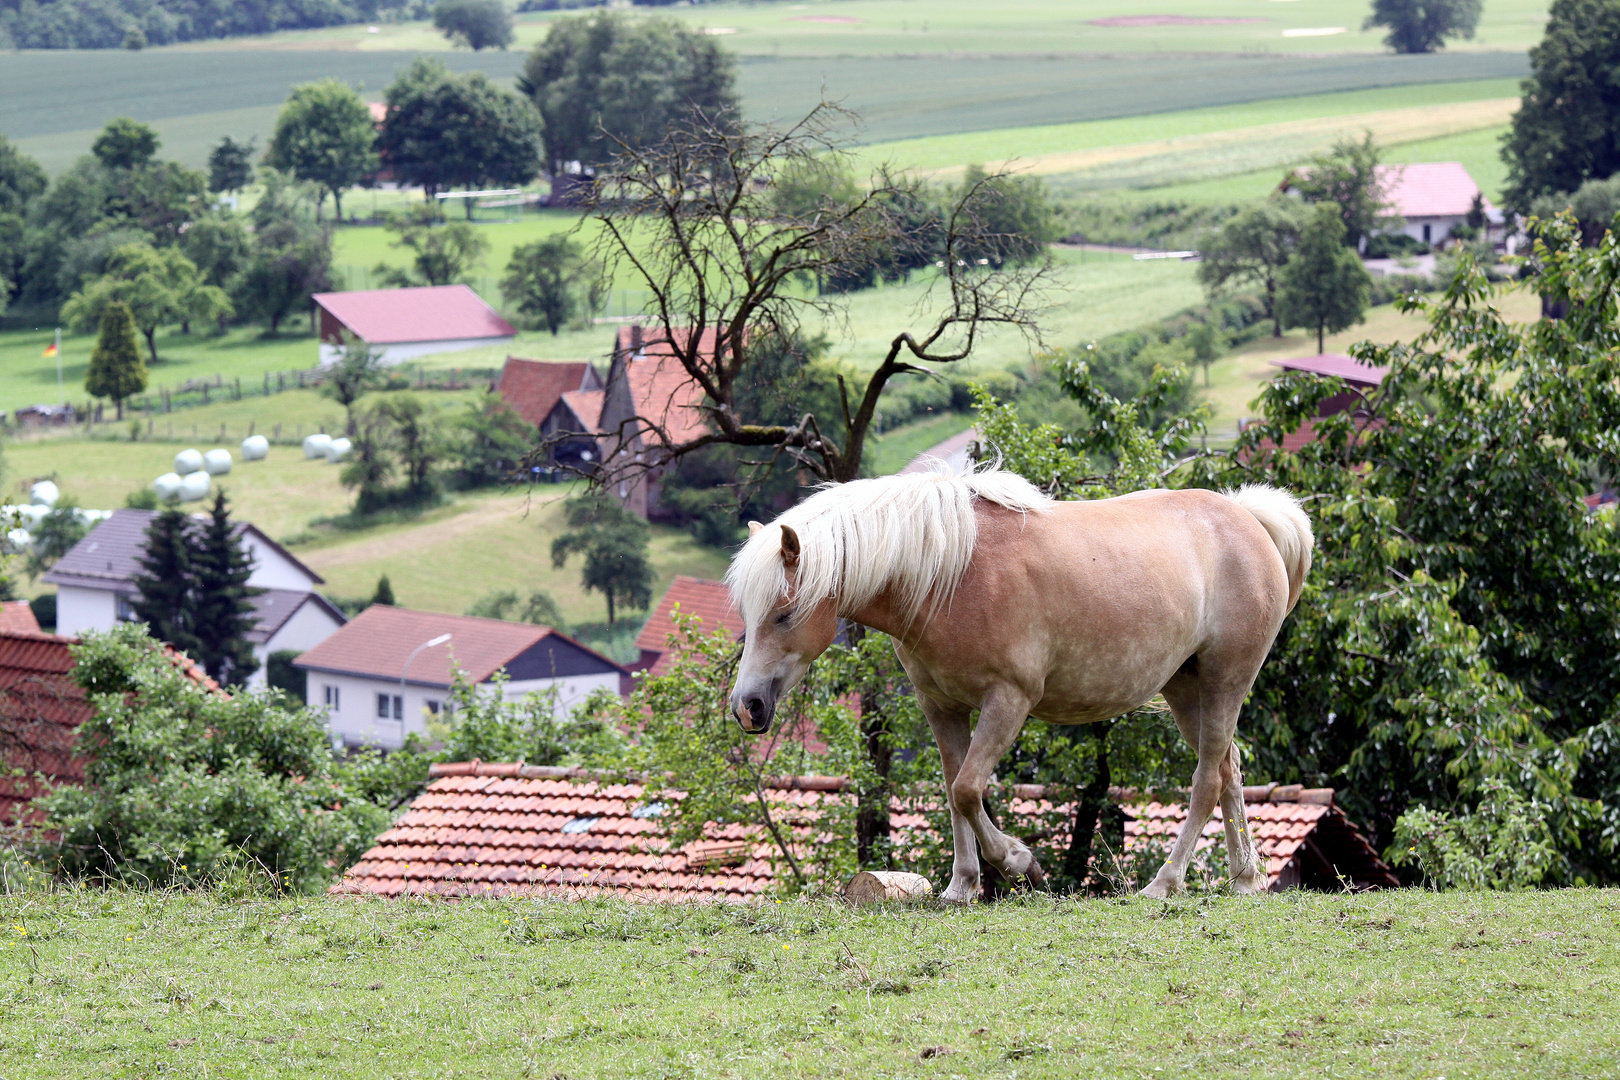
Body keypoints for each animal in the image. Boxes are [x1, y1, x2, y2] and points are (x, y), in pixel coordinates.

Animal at [729, 469, 1308, 900]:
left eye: (783, 614)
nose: (747, 706)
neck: (952, 573)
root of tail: (1248, 518)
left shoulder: (1008, 701)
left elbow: (967, 789)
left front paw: (1018, 862)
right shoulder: (941, 706)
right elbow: (953, 788)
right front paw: (961, 887)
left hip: (1225, 682)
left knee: (1207, 781)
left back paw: (1164, 884)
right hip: (1188, 691)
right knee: (1229, 769)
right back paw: (1245, 879)